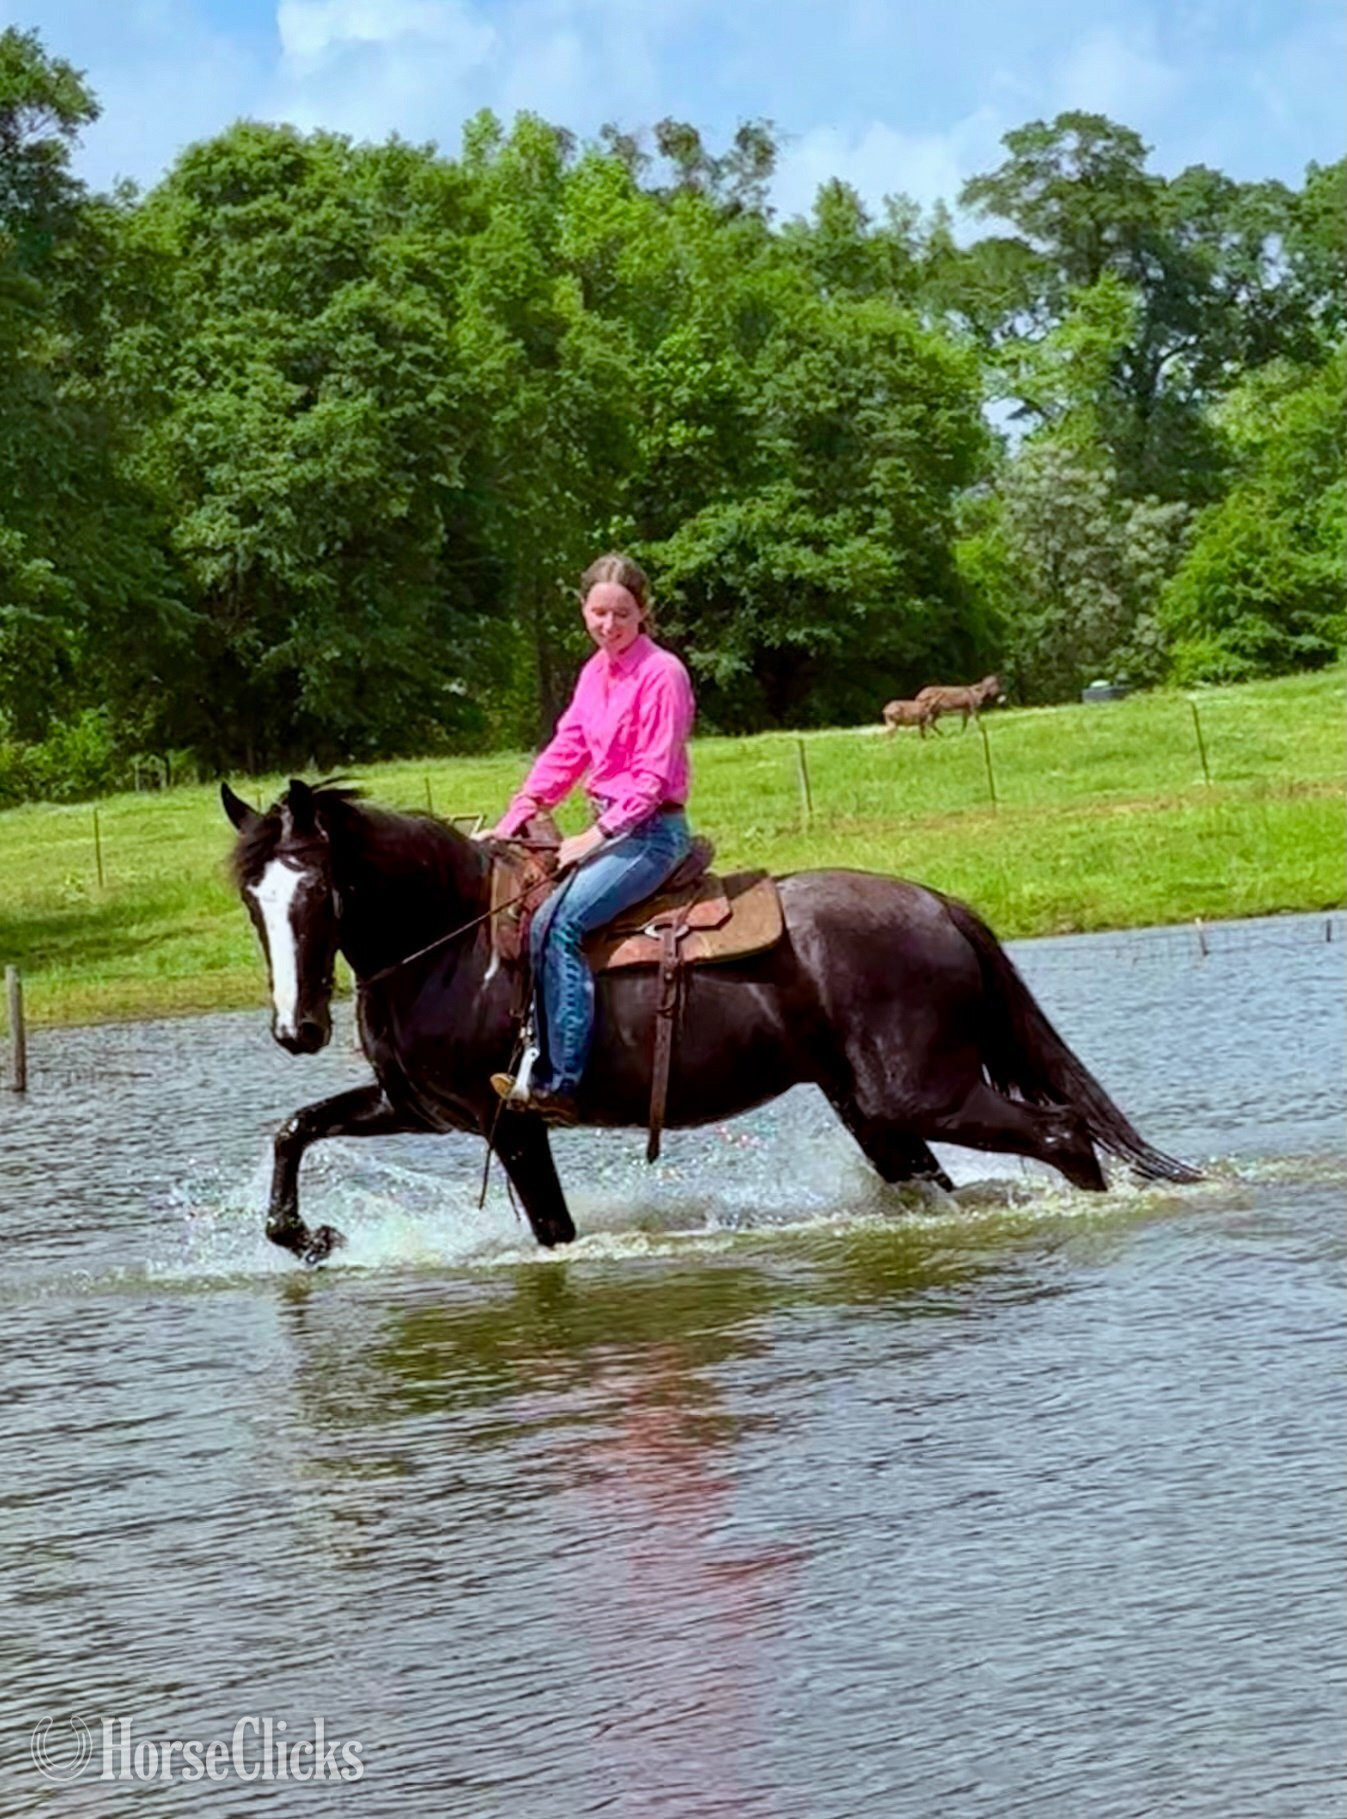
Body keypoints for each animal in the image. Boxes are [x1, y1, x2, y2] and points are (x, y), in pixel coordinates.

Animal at [222, 779, 1199, 1265]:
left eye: (315, 889)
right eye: (250, 896)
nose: (296, 1029)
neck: (453, 944)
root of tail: (935, 904)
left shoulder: (511, 1120)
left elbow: (553, 1232)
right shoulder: (422, 1107)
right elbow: (294, 1128)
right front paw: (306, 1237)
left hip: (925, 1091)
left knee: (1065, 1133)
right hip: (873, 1108)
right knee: (944, 1173)